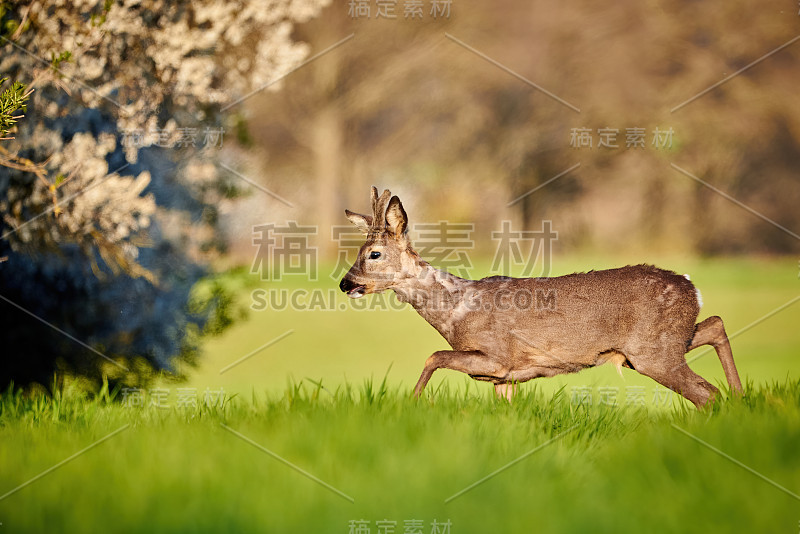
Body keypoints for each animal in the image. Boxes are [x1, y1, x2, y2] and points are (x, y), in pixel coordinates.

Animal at [338, 186, 744, 408]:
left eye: (373, 254)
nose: (345, 283)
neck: (455, 309)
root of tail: (692, 286)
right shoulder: (504, 378)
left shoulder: (497, 356)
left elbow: (433, 356)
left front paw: (413, 404)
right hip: (659, 344)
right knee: (715, 325)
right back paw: (742, 399)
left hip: (652, 351)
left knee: (707, 394)